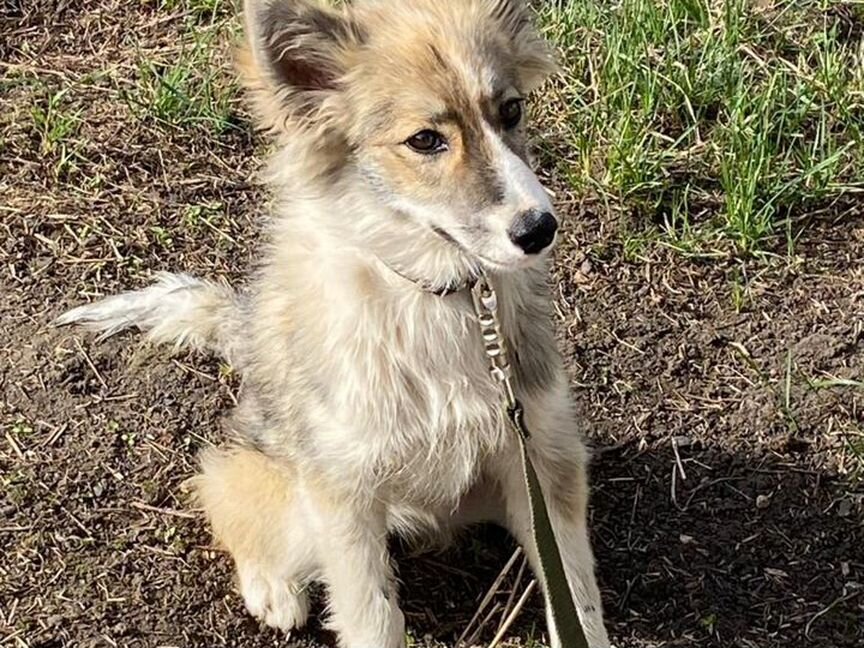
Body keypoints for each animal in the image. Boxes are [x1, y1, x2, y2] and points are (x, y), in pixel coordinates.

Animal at [57, 0, 612, 644]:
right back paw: (272, 588)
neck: (435, 296)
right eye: (425, 140)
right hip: (282, 493)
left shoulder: (545, 456)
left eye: (512, 110)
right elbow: (372, 615)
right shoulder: (344, 496)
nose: (539, 228)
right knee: (225, 497)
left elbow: (577, 594)